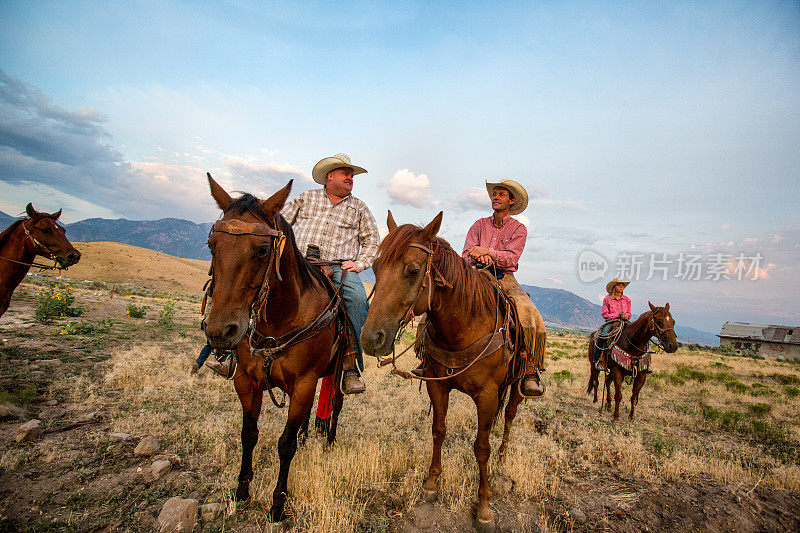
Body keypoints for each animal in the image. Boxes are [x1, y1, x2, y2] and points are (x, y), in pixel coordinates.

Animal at [202, 175, 348, 520]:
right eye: (212, 245)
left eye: (262, 250)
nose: (220, 331)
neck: (280, 320)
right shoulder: (246, 381)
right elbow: (248, 434)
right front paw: (242, 490)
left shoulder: (305, 382)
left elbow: (285, 445)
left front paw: (278, 503)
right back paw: (307, 436)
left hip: (336, 372)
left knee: (335, 406)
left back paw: (328, 443)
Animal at [360, 210, 544, 528]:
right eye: (375, 267)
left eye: (413, 270)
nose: (372, 338)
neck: (464, 325)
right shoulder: (437, 384)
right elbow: (439, 430)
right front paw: (431, 484)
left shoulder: (487, 396)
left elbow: (481, 447)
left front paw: (484, 507)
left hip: (518, 384)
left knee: (509, 415)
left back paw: (503, 456)